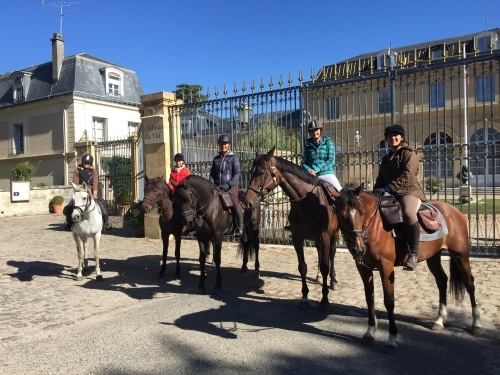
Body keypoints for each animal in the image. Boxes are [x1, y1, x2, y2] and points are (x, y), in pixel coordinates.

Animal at [243, 148, 338, 310]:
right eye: (251, 172)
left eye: (261, 172)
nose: (247, 202)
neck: (307, 201)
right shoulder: (297, 239)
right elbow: (302, 267)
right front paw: (305, 297)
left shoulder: (324, 237)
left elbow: (326, 266)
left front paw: (324, 299)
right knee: (320, 254)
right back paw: (318, 276)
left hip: (334, 236)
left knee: (331, 254)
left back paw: (333, 280)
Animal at [332, 186, 480, 356]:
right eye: (341, 215)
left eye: (362, 212)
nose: (358, 248)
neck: (375, 227)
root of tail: (454, 210)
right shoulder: (362, 267)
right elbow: (370, 298)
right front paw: (369, 332)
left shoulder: (386, 267)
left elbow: (389, 301)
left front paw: (391, 339)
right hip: (433, 257)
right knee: (442, 281)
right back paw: (439, 320)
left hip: (460, 254)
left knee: (469, 283)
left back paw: (476, 324)